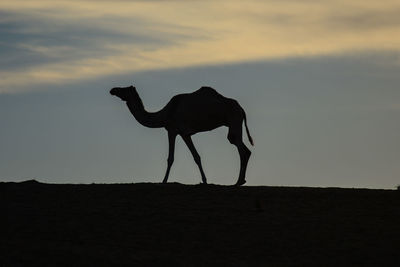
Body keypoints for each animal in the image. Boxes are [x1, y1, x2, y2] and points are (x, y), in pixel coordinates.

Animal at [109, 86, 253, 186]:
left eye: (124, 89)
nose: (112, 90)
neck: (165, 114)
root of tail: (242, 109)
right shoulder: (185, 134)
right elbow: (196, 157)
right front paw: (204, 181)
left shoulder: (173, 130)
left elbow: (170, 158)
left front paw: (163, 181)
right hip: (235, 122)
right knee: (243, 149)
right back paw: (240, 181)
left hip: (234, 120)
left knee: (242, 149)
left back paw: (238, 182)